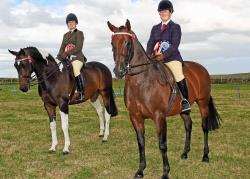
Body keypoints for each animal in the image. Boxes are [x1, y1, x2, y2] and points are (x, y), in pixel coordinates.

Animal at [107, 18, 221, 178]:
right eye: (112, 43)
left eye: (127, 43)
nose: (119, 71)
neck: (141, 82)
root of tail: (202, 69)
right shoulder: (135, 116)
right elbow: (141, 143)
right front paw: (140, 170)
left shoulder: (159, 116)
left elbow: (162, 144)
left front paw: (166, 172)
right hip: (183, 109)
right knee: (188, 125)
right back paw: (185, 153)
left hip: (203, 103)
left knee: (204, 127)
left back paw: (205, 156)